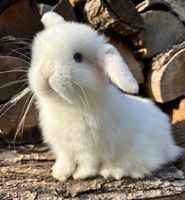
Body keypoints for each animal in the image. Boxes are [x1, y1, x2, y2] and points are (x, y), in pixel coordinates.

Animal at [28, 12, 182, 181]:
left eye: (78, 57)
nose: (47, 71)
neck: (65, 103)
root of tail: (168, 143)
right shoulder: (64, 147)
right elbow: (65, 160)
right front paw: (59, 173)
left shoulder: (88, 148)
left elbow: (88, 163)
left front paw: (81, 175)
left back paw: (112, 170)